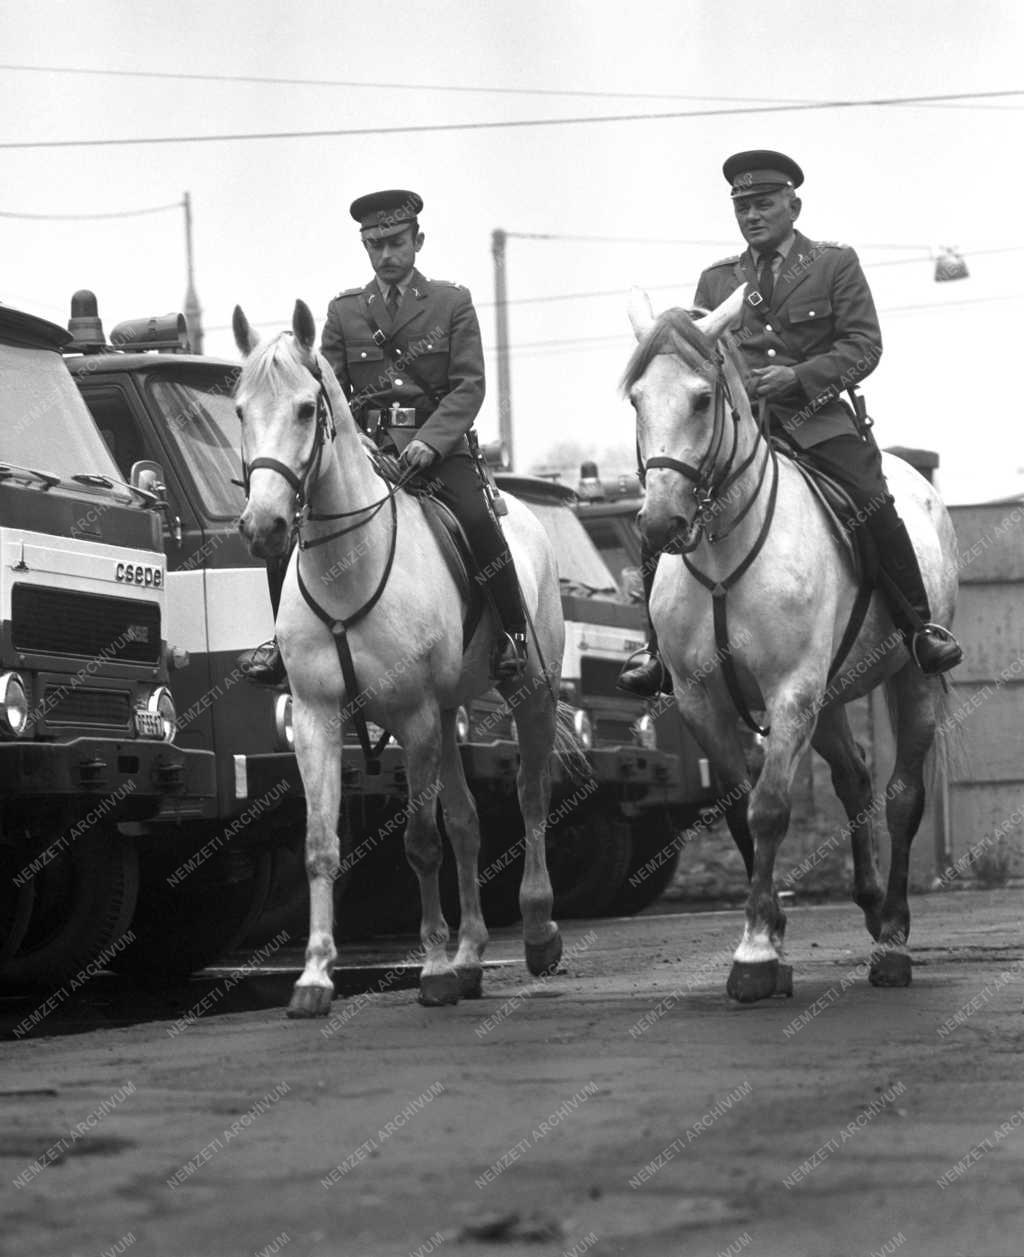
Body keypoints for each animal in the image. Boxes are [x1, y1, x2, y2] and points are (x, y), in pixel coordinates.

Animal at [232, 299, 567, 1015]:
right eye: (241, 410)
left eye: (307, 409)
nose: (264, 526)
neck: (346, 568)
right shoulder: (318, 718)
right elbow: (320, 846)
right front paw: (314, 977)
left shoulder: (411, 717)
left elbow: (420, 842)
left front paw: (432, 968)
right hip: (445, 716)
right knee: (467, 822)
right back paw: (471, 957)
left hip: (529, 695)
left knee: (529, 797)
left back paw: (535, 932)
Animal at [625, 285, 959, 1000]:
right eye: (636, 398)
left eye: (702, 399)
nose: (661, 523)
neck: (724, 551)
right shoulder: (703, 701)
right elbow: (736, 810)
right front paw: (772, 939)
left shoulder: (790, 693)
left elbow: (771, 808)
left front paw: (755, 954)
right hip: (828, 700)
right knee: (855, 779)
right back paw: (870, 907)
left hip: (909, 680)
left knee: (902, 797)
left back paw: (892, 941)